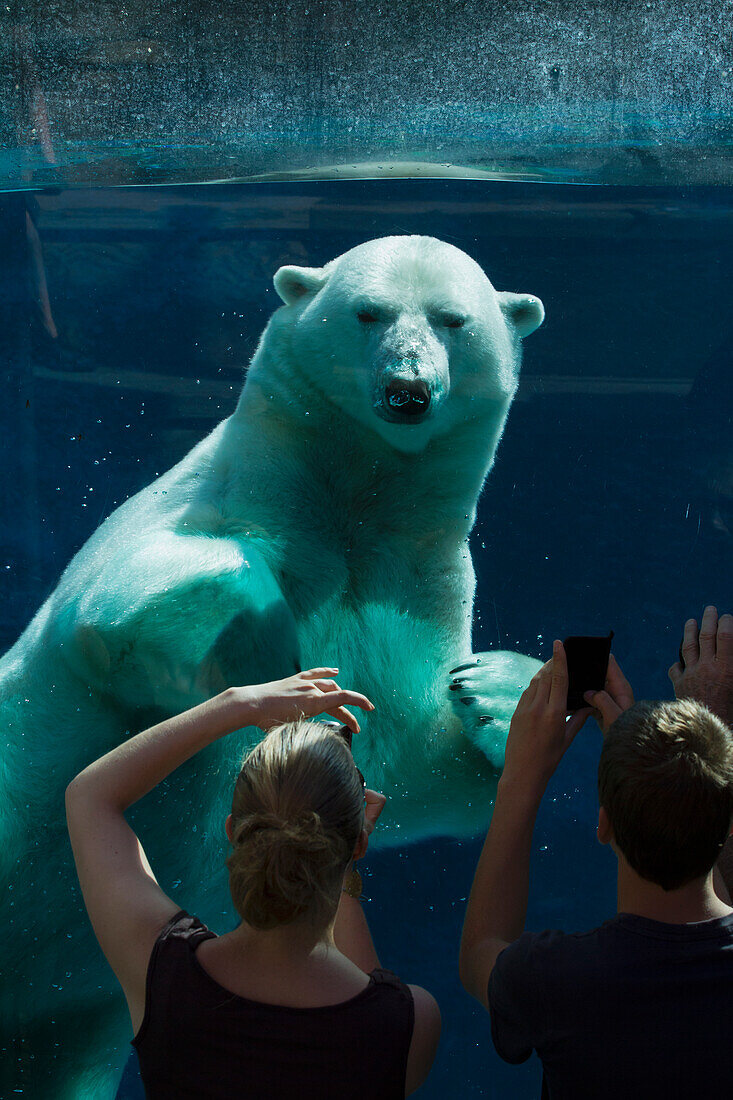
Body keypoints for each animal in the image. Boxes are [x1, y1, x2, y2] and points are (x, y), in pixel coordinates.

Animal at [0, 236, 541, 1095]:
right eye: (368, 312)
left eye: (454, 320)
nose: (407, 389)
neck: (347, 502)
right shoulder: (207, 502)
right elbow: (121, 602)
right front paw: (263, 651)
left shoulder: (405, 592)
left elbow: (422, 760)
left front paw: (493, 690)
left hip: (68, 1014)